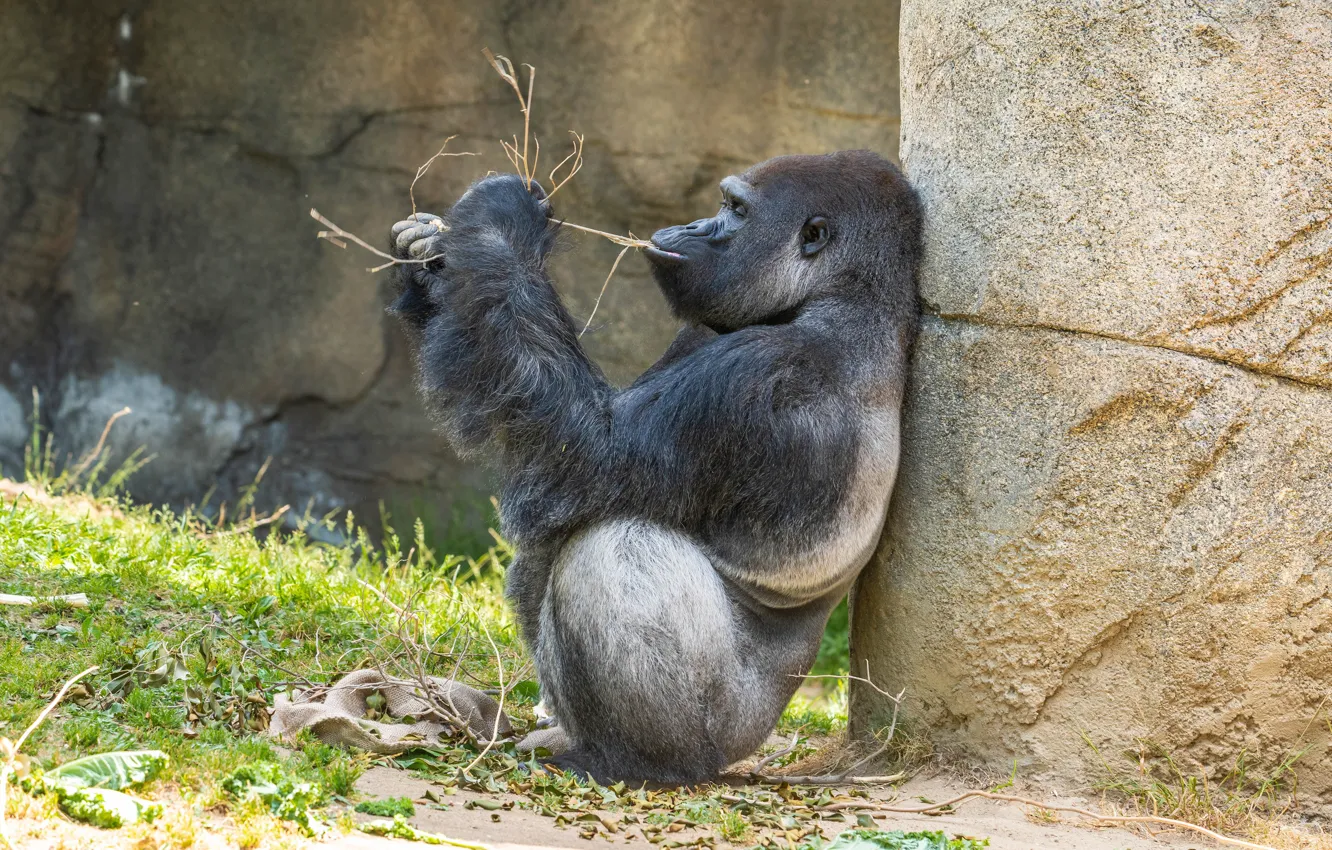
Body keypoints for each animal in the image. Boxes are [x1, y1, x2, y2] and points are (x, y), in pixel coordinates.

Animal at [386, 149, 921, 782]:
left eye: (735, 210)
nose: (688, 227)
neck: (843, 299)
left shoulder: (762, 378)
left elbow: (588, 451)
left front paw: (498, 222)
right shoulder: (704, 333)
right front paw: (426, 261)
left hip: (728, 733)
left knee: (617, 544)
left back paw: (634, 761)